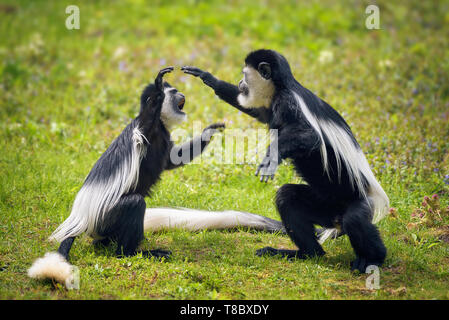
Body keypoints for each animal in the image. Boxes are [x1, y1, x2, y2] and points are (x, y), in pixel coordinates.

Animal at [28, 66, 282, 286]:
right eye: (172, 92)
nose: (181, 93)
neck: (160, 126)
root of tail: (80, 218)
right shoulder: (145, 128)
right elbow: (149, 114)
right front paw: (158, 83)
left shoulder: (164, 136)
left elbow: (172, 161)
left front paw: (209, 130)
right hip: (105, 217)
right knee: (134, 203)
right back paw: (133, 252)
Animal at [181, 50, 388, 272]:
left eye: (245, 75)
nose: (240, 83)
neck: (283, 87)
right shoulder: (271, 107)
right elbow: (258, 113)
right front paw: (210, 79)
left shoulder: (287, 102)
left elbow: (310, 136)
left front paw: (271, 157)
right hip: (324, 206)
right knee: (287, 198)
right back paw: (304, 253)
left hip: (362, 202)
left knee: (355, 220)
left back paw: (373, 259)